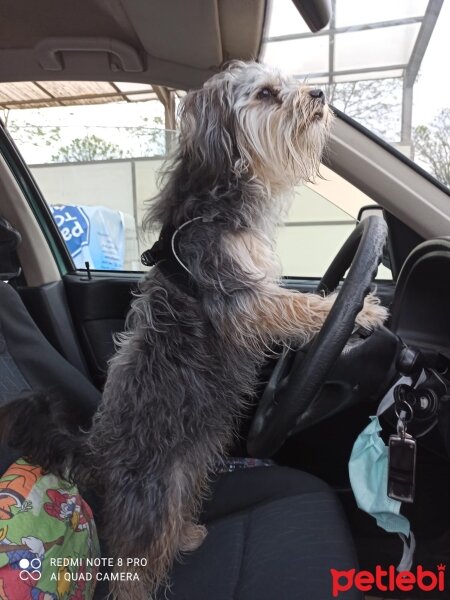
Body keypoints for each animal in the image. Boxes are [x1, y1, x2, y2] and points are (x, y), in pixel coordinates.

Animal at [0, 58, 386, 596]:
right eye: (266, 94)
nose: (317, 95)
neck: (217, 194)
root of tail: (96, 452)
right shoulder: (240, 298)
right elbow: (295, 305)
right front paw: (361, 311)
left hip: (189, 464)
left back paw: (186, 535)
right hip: (155, 494)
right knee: (135, 562)